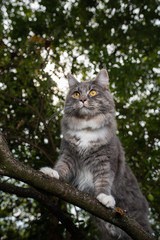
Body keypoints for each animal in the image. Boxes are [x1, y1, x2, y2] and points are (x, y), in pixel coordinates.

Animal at [40, 68, 152, 239]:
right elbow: (61, 168)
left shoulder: (106, 161)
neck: (86, 129)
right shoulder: (68, 155)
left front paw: (105, 197)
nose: (83, 99)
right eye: (76, 94)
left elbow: (103, 181)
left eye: (92, 92)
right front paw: (51, 172)